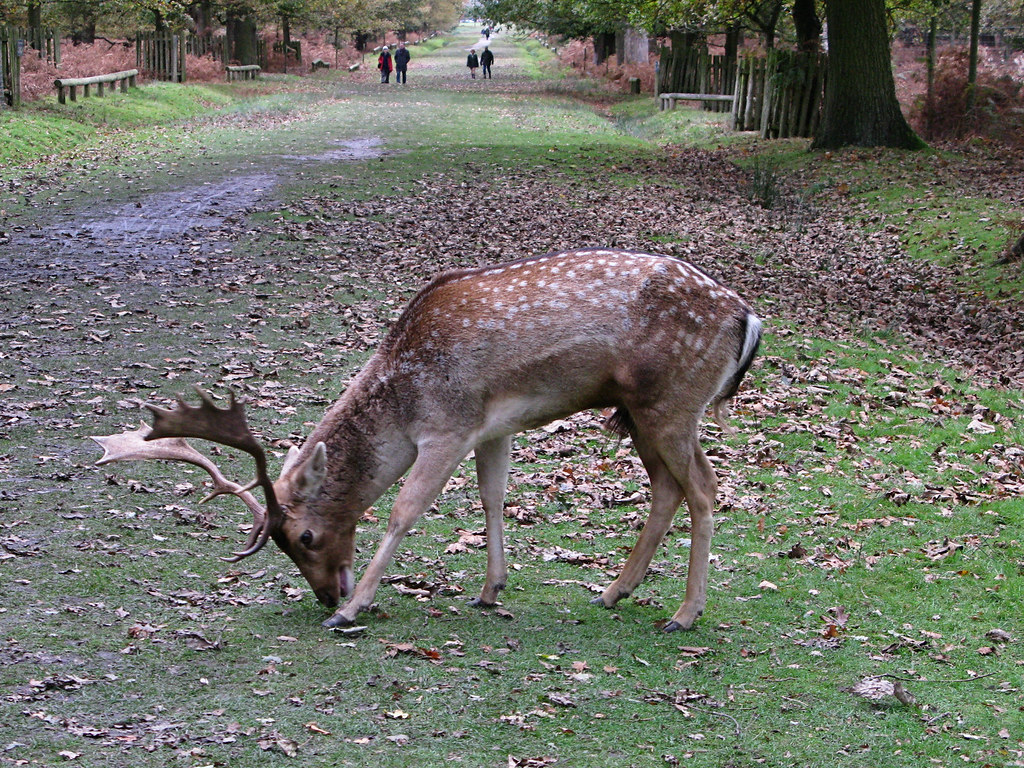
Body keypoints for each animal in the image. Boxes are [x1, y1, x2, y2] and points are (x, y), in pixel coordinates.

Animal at [92, 249, 761, 632]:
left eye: (304, 536)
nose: (324, 595)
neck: (402, 387)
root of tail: (747, 319)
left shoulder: (447, 426)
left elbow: (404, 511)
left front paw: (354, 610)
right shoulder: (493, 427)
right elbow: (493, 498)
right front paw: (490, 591)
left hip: (672, 403)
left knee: (706, 488)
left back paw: (685, 614)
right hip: (640, 412)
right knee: (668, 489)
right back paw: (614, 592)